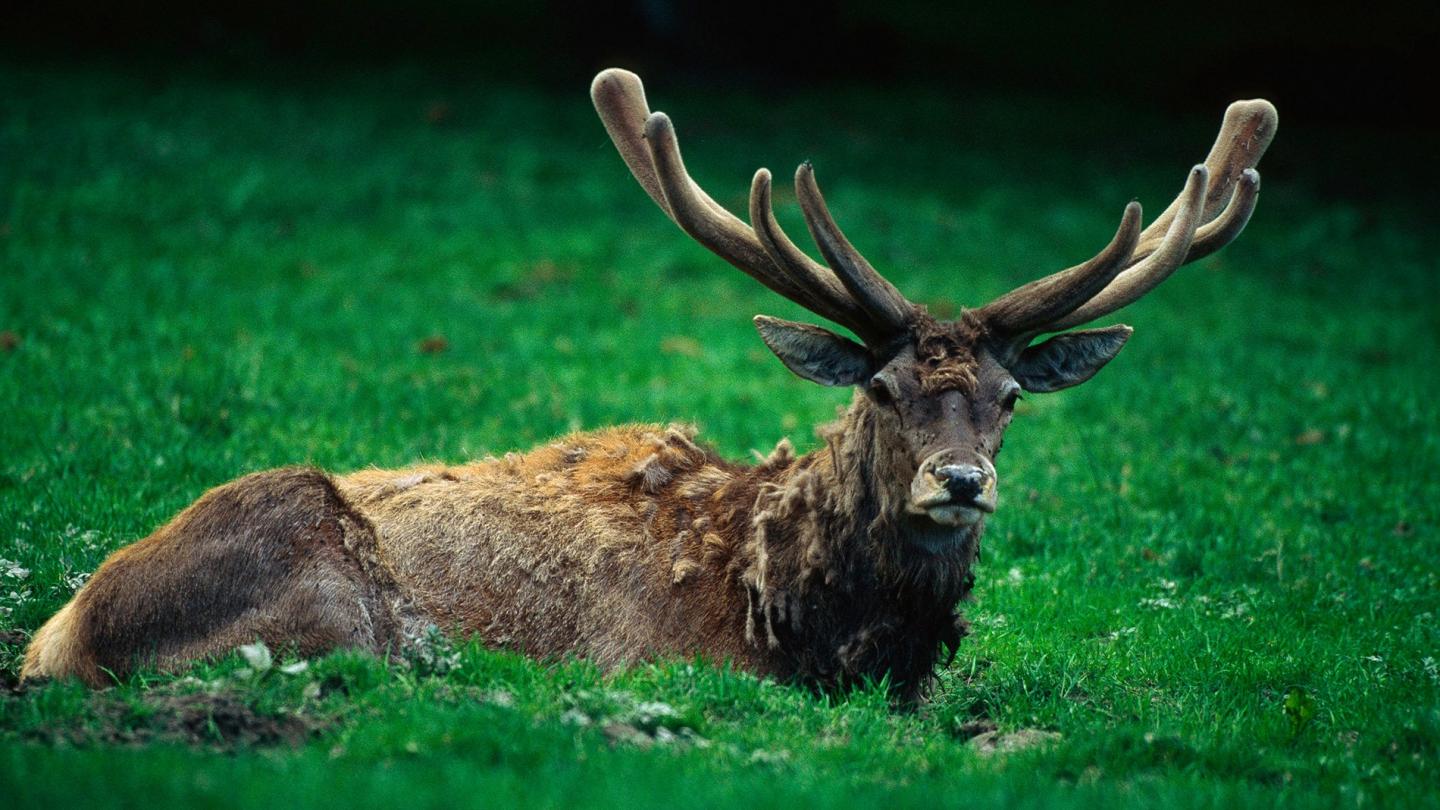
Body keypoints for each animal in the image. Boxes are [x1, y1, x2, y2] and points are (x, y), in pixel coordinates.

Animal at [20, 70, 1276, 699]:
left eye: (1012, 399)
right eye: (878, 390)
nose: (959, 483)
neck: (815, 627)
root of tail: (57, 636)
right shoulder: (665, 658)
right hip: (311, 561)